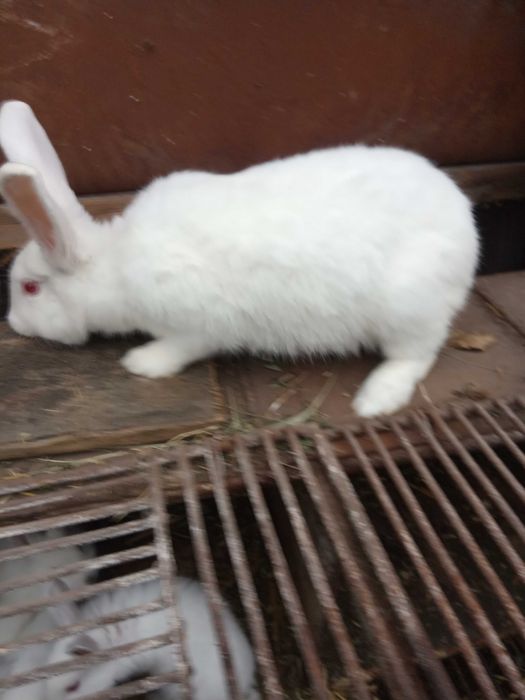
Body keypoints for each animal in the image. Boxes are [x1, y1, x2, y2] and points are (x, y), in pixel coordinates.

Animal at [0, 100, 478, 417]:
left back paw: (374, 400)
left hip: (407, 308)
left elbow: (182, 347)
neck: (116, 265)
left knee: (416, 356)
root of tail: (466, 224)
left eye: (30, 288)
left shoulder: (197, 324)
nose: (14, 323)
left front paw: (142, 363)